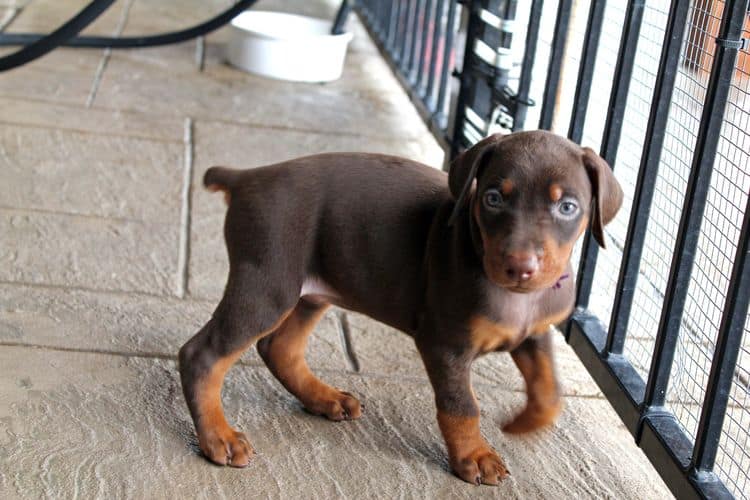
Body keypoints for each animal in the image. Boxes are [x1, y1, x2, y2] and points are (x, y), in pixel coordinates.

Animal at [179, 129, 624, 484]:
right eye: (494, 198)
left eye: (567, 207)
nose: (519, 266)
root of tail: (248, 177)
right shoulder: (444, 343)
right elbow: (461, 406)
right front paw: (474, 456)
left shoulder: (535, 331)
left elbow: (549, 391)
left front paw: (521, 424)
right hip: (268, 283)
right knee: (201, 355)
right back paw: (218, 438)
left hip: (311, 292)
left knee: (279, 348)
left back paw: (323, 398)